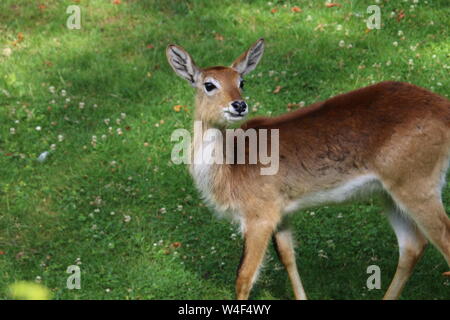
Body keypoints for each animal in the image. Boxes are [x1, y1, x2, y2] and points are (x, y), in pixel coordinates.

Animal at [167, 38, 450, 300]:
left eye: (242, 81)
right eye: (209, 84)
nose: (239, 105)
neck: (231, 168)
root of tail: (442, 107)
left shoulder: (259, 215)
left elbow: (244, 276)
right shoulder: (281, 212)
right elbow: (288, 257)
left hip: (417, 185)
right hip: (388, 193)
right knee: (413, 245)